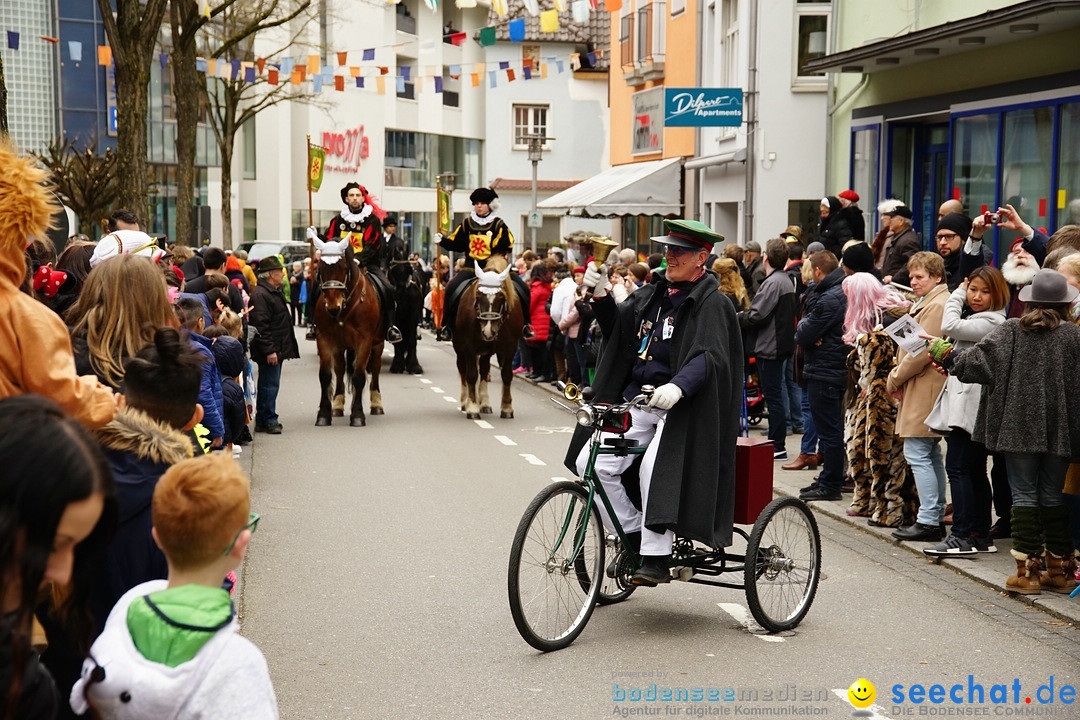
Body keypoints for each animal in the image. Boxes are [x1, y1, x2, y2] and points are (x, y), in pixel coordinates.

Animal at [313, 239, 384, 425]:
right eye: (320, 269)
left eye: (344, 268)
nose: (332, 307)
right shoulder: (324, 338)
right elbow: (325, 375)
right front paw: (324, 414)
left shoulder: (365, 340)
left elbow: (359, 376)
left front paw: (358, 415)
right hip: (340, 346)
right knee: (339, 369)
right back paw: (337, 404)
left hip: (378, 343)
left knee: (375, 368)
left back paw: (377, 404)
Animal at [449, 255, 524, 418]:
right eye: (478, 295)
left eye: (501, 297)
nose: (488, 332)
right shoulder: (468, 345)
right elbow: (471, 374)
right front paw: (472, 407)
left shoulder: (511, 345)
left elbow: (506, 374)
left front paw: (507, 408)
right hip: (459, 346)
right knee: (463, 369)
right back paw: (465, 401)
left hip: (486, 350)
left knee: (484, 370)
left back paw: (484, 403)